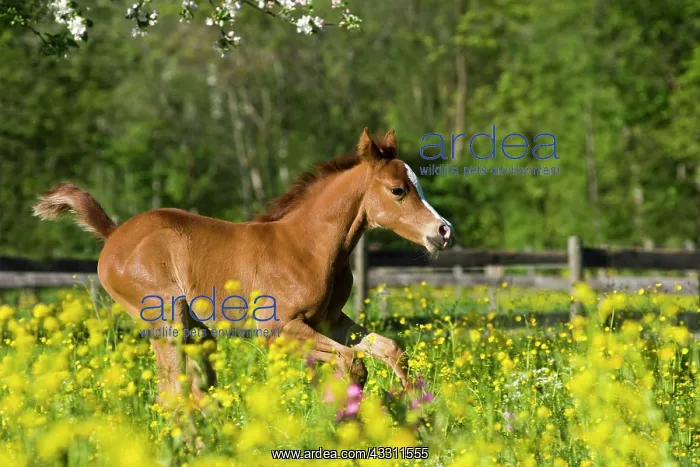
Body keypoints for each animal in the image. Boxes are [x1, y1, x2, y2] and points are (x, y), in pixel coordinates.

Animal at [33, 127, 454, 407]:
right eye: (398, 190)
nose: (443, 231)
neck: (307, 247)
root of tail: (114, 233)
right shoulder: (278, 330)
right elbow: (352, 363)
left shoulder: (330, 321)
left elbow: (389, 350)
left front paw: (412, 405)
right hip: (165, 321)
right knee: (171, 391)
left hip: (198, 332)